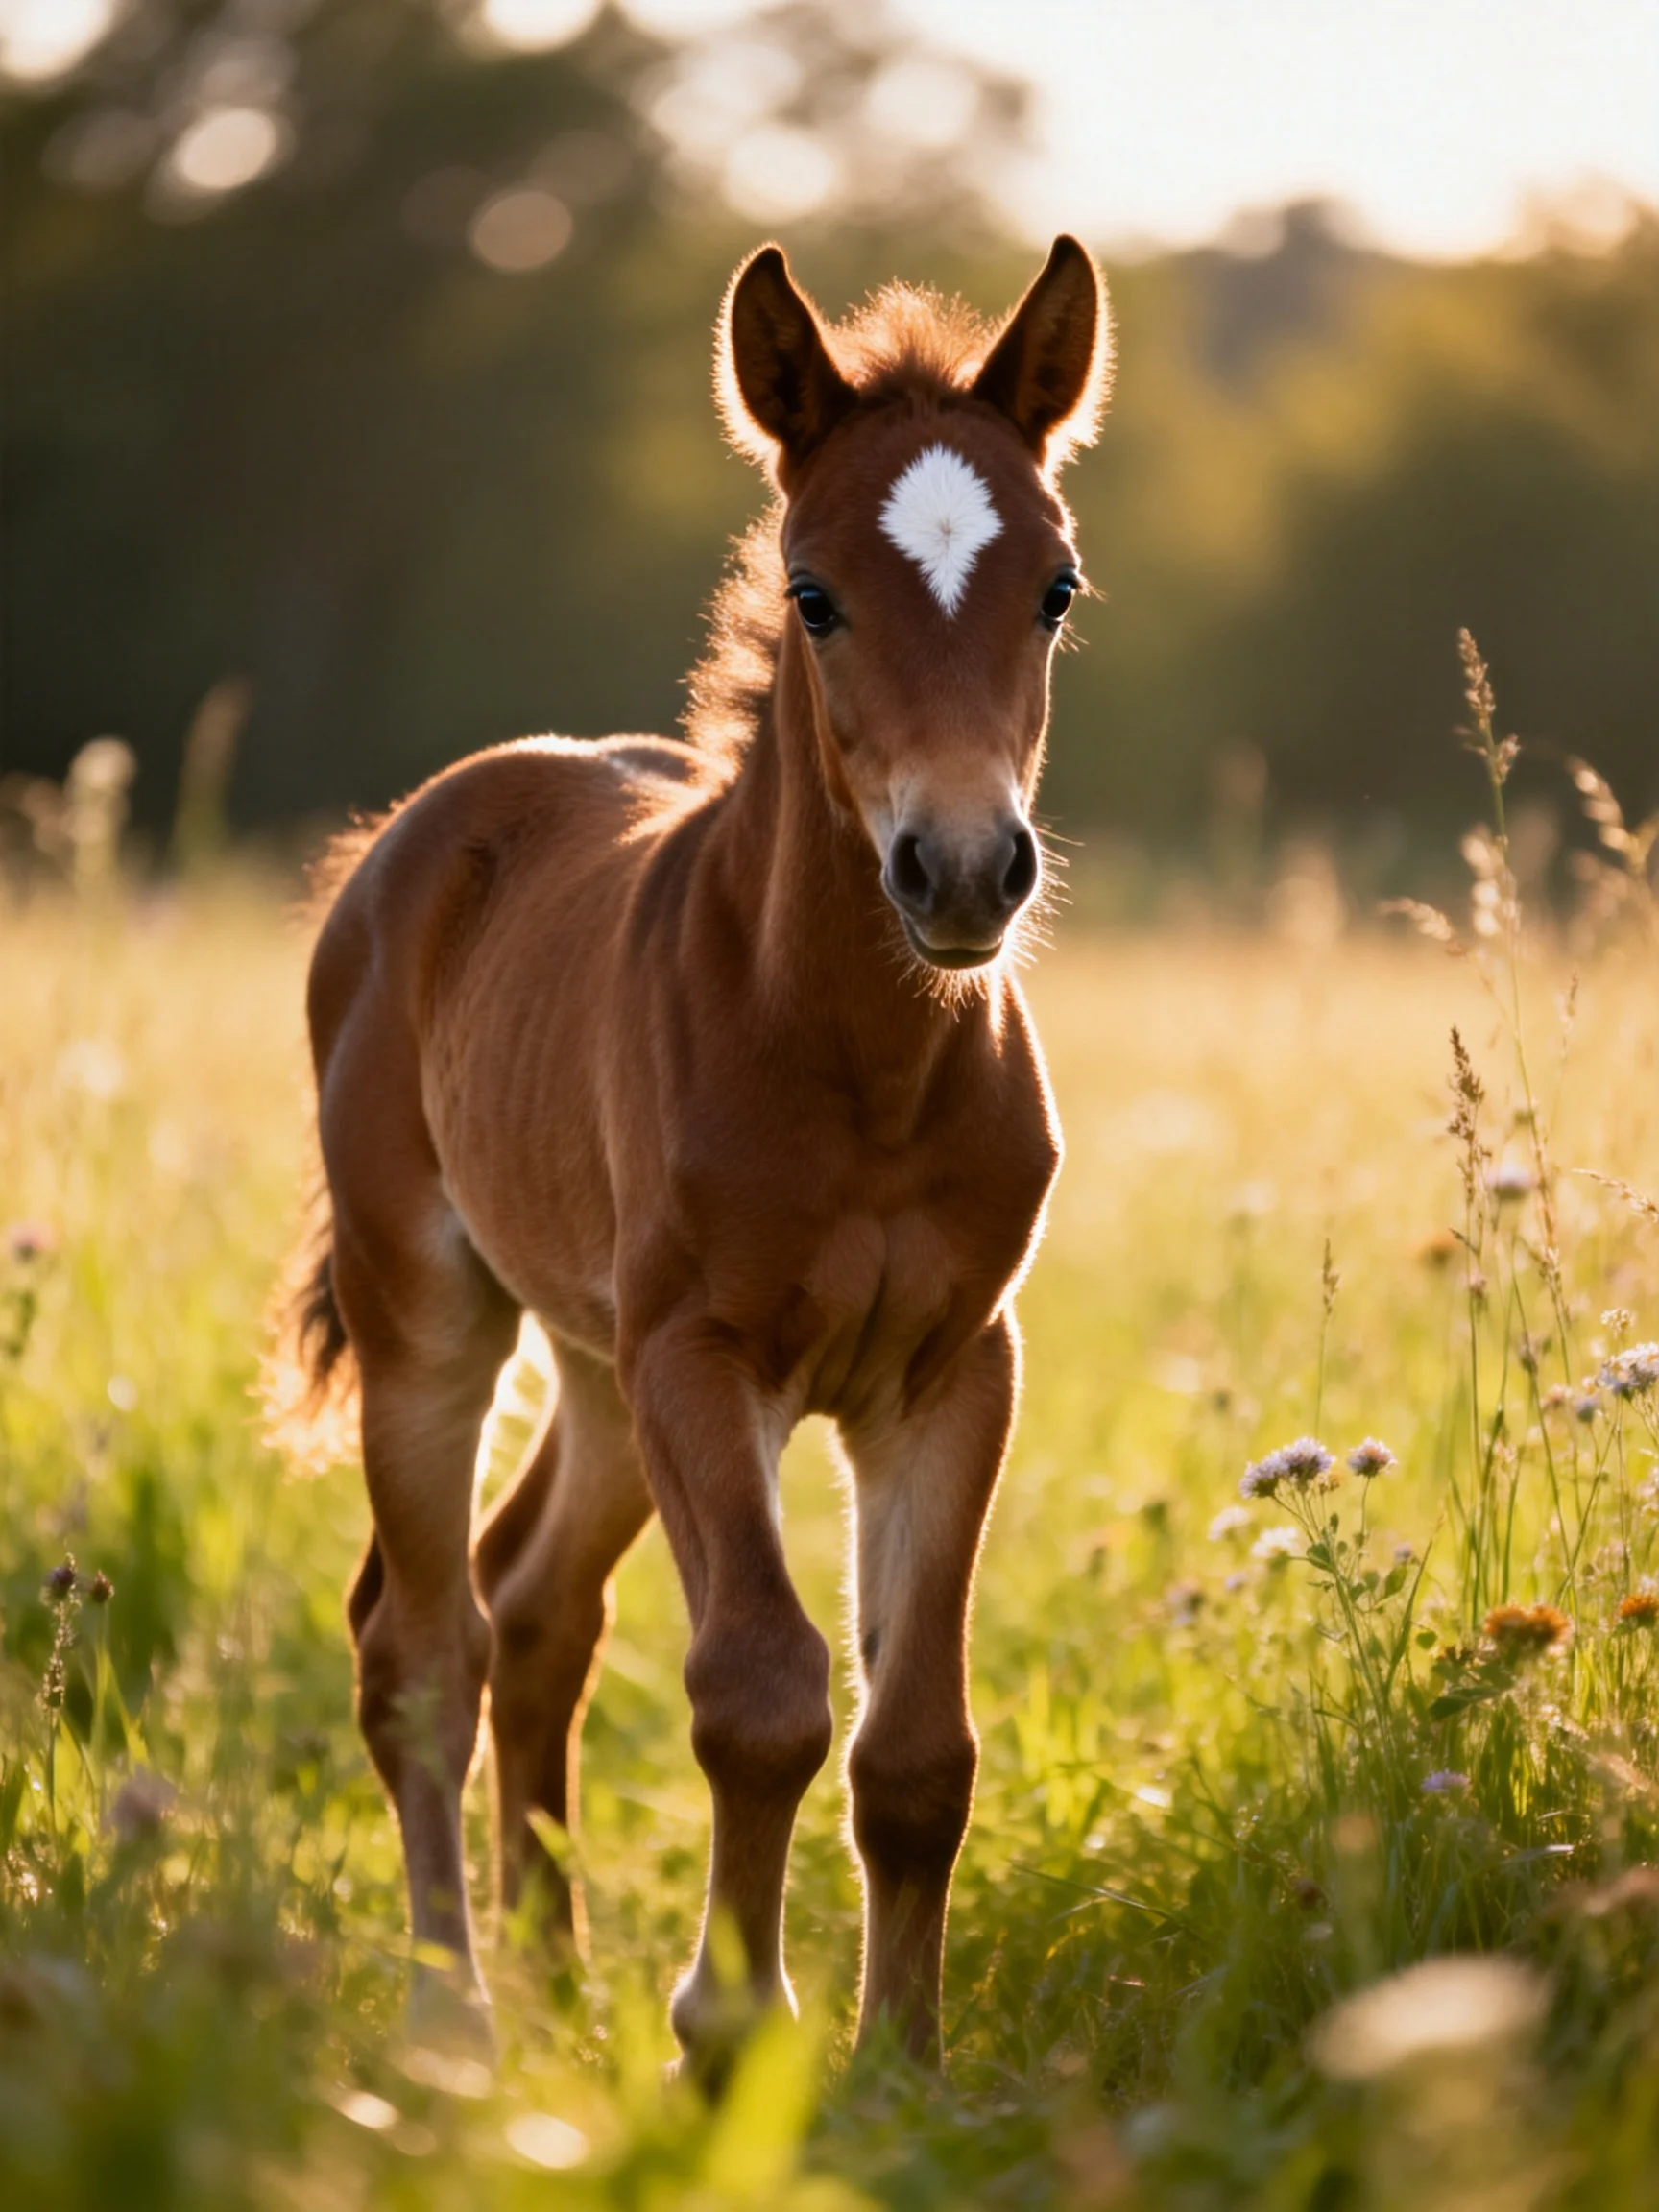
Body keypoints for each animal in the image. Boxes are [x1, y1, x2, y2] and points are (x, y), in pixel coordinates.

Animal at [275, 234, 1109, 2069]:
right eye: (813, 592)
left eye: (1053, 588)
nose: (963, 871)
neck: (861, 1070)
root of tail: (412, 842)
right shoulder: (704, 1351)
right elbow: (761, 1690)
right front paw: (726, 2028)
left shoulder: (955, 1368)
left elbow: (915, 1740)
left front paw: (900, 2065)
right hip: (437, 1313)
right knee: (418, 1643)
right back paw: (456, 2017)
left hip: (595, 1363)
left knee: (532, 1610)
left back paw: (553, 1979)